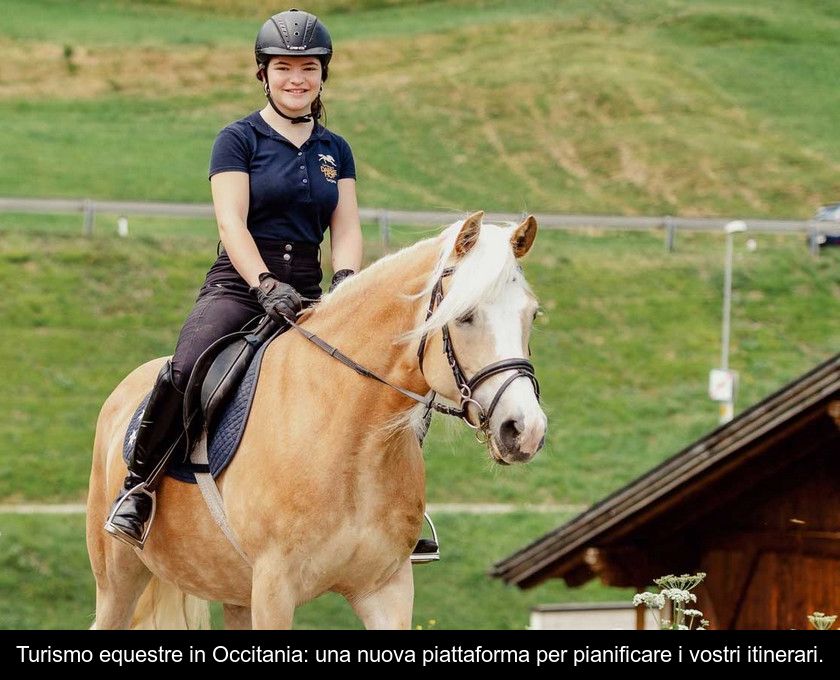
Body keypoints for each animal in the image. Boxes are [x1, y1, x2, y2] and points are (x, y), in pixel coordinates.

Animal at [85, 211, 544, 628]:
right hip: (118, 583)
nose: (525, 430)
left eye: (532, 314)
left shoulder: (388, 589)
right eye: (464, 316)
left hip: (236, 593)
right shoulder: (274, 589)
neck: (356, 445)